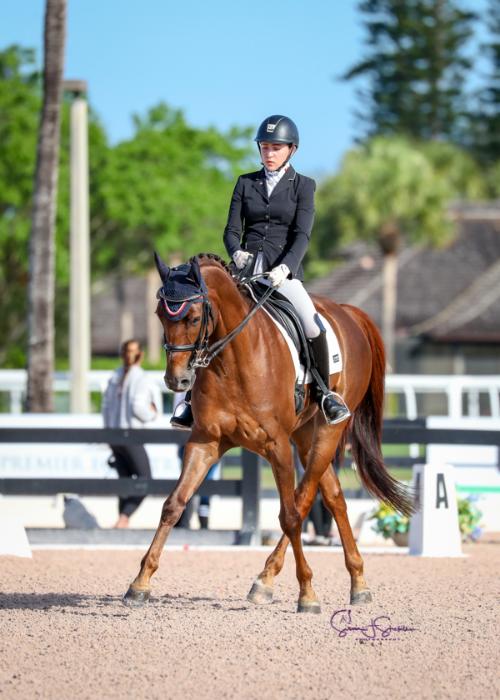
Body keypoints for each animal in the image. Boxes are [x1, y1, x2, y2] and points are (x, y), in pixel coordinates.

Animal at [123, 252, 413, 613]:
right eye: (160, 315)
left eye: (193, 317)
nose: (177, 381)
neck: (233, 361)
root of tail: (348, 312)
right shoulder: (205, 442)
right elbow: (173, 505)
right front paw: (140, 583)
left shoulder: (277, 446)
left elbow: (289, 515)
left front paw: (307, 594)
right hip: (305, 436)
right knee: (333, 496)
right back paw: (355, 582)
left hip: (328, 431)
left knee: (305, 499)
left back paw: (270, 579)